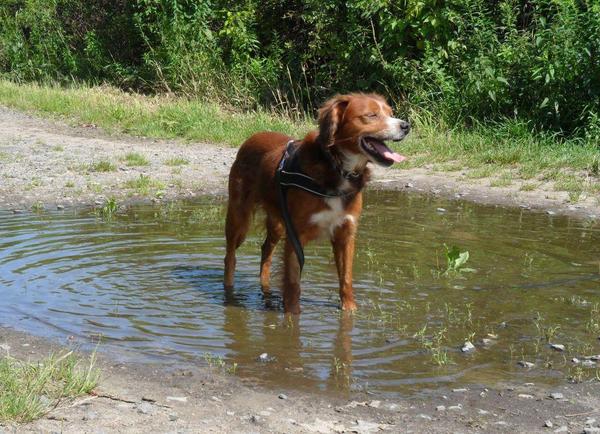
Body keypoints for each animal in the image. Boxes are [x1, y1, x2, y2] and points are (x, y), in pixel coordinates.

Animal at [223, 93, 410, 314]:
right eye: (371, 115)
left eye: (390, 113)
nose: (406, 125)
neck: (339, 169)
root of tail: (252, 137)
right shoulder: (296, 236)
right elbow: (293, 284)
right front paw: (291, 317)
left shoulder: (345, 233)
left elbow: (346, 278)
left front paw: (350, 311)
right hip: (239, 219)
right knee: (230, 256)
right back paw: (229, 292)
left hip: (277, 223)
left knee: (266, 251)